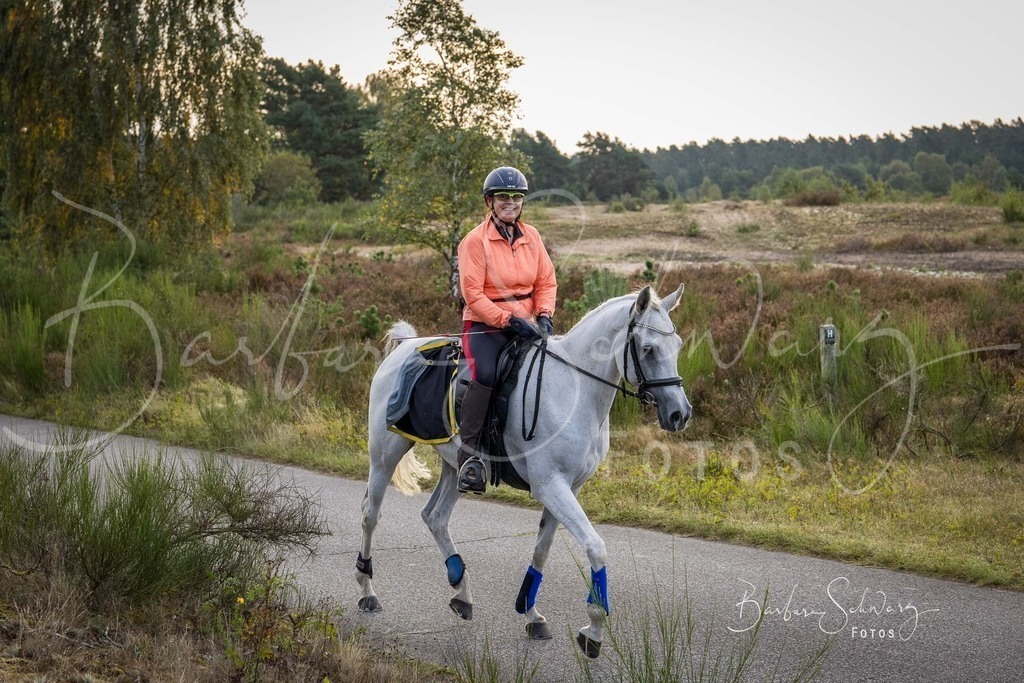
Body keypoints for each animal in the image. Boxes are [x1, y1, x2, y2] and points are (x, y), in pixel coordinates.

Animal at [355, 284, 692, 658]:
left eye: (677, 345)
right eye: (648, 349)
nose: (679, 413)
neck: (573, 391)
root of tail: (404, 346)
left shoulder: (568, 488)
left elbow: (541, 550)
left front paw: (531, 612)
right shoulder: (551, 486)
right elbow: (595, 546)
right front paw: (593, 629)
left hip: (456, 466)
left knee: (435, 517)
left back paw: (462, 593)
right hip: (385, 455)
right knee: (371, 515)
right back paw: (368, 592)